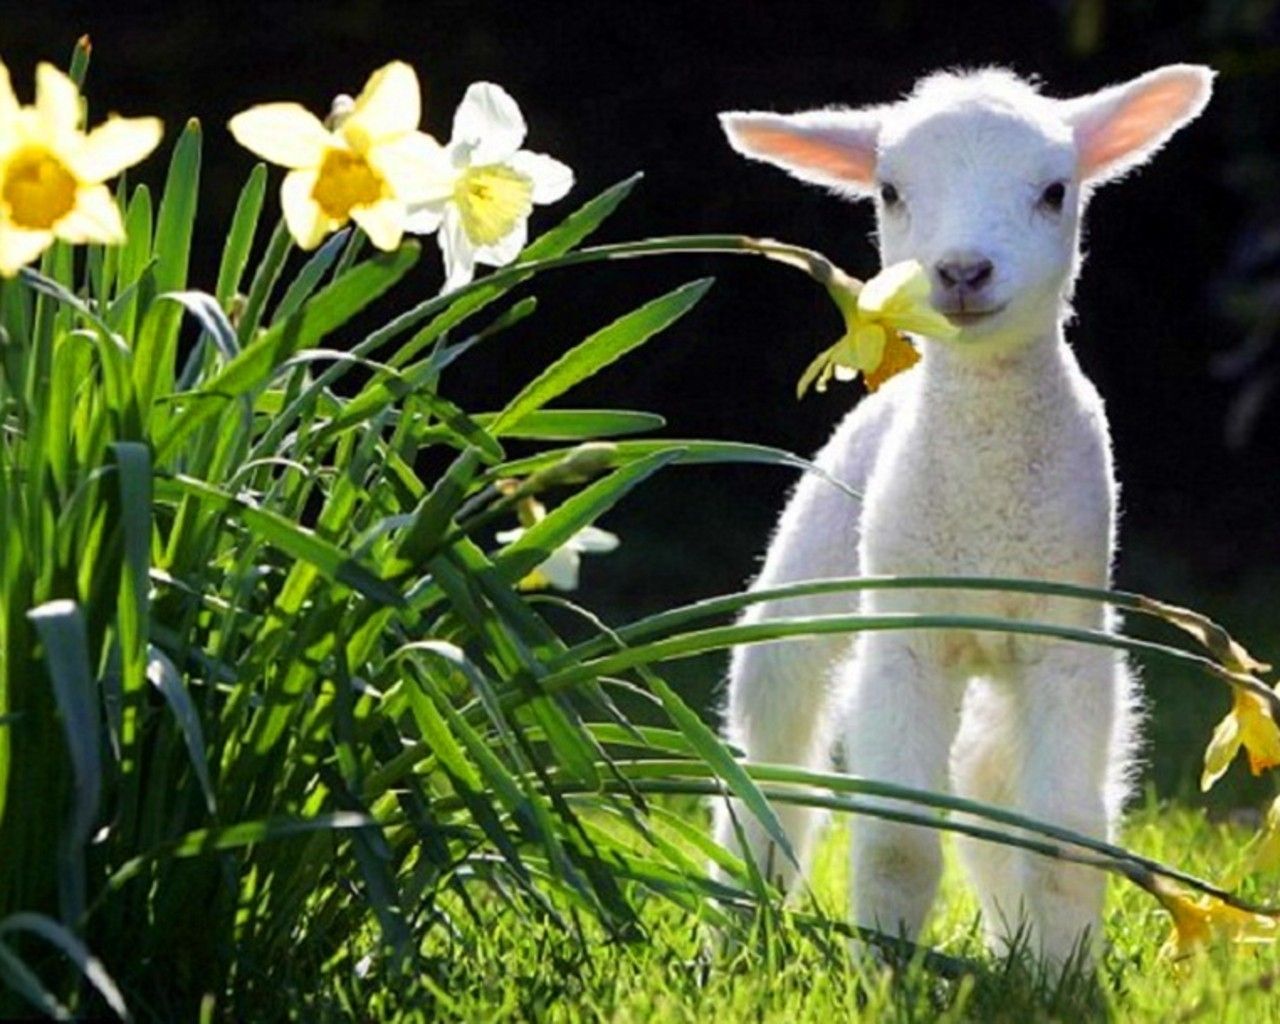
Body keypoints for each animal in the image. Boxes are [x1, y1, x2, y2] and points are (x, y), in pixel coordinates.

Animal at [713, 64, 1214, 971]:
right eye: (889, 191)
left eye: (1054, 191)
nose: (962, 271)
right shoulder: (904, 639)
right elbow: (897, 844)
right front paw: (884, 970)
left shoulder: (1067, 643)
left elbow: (1060, 842)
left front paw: (1063, 975)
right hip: (803, 586)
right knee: (770, 759)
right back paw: (732, 929)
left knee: (986, 777)